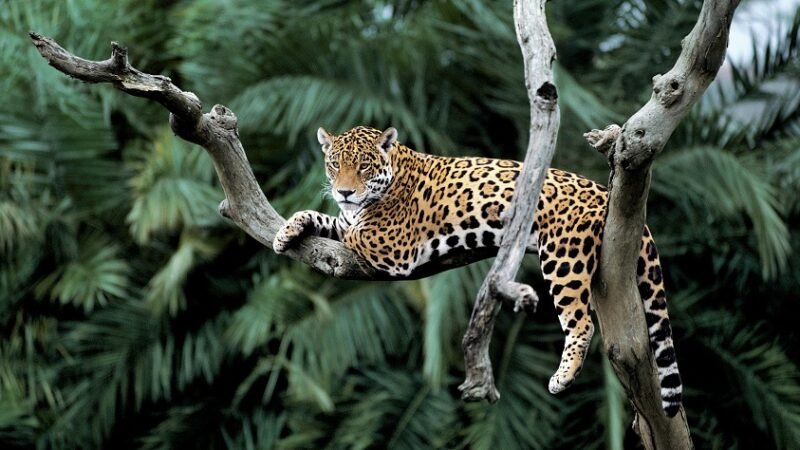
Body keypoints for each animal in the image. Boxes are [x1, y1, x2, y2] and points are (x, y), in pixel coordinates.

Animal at [274, 126, 683, 416]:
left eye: (364, 166)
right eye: (334, 165)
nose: (344, 192)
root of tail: (602, 191)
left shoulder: (391, 244)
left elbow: (352, 230)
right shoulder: (352, 220)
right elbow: (328, 219)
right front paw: (287, 230)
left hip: (563, 257)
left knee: (581, 322)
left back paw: (562, 377)